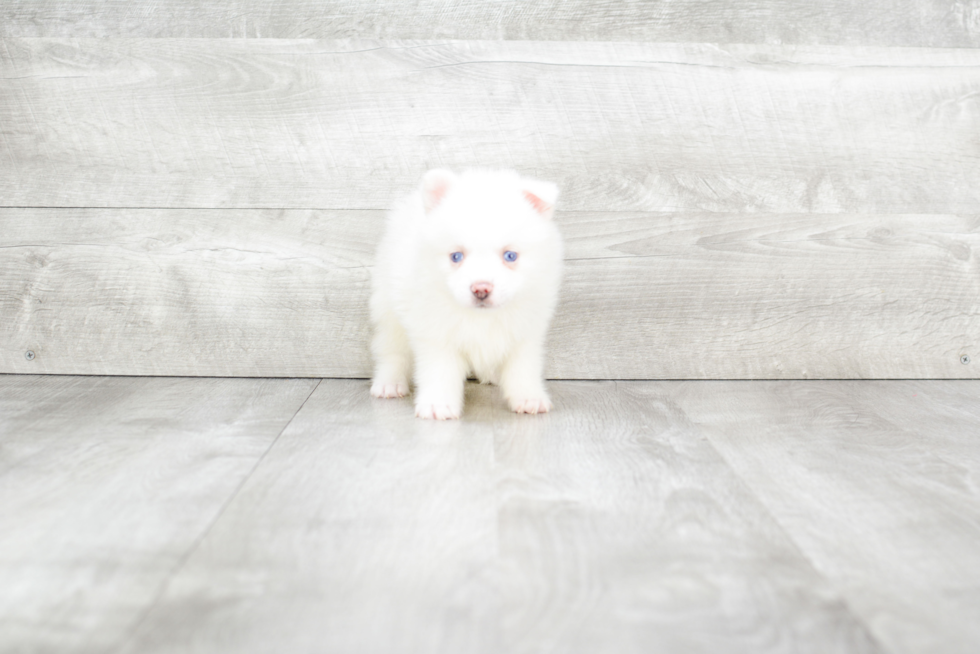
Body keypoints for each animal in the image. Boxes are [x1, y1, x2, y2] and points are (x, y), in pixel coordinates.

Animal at [370, 169, 568, 420]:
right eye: (456, 256)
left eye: (510, 256)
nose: (481, 288)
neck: (482, 317)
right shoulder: (435, 330)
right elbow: (440, 369)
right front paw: (438, 404)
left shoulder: (525, 332)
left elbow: (522, 367)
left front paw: (528, 397)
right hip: (389, 307)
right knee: (392, 350)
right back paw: (390, 383)